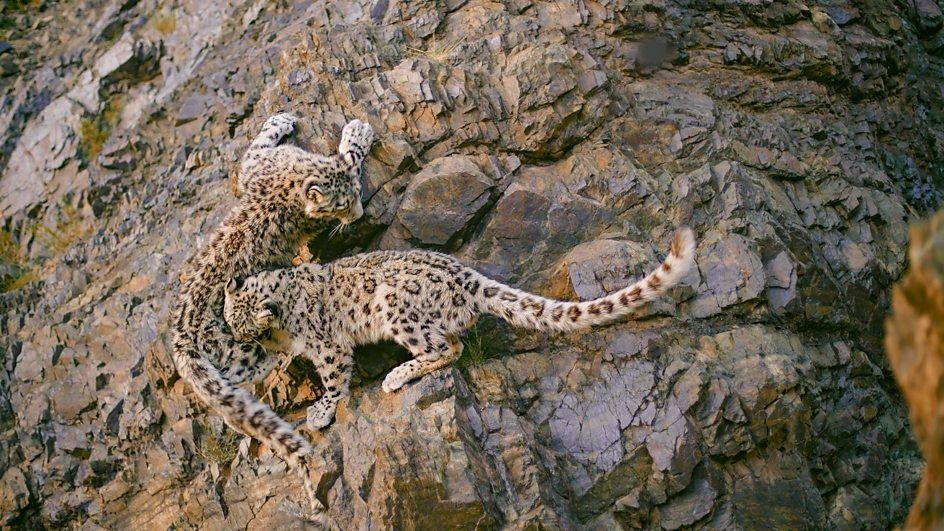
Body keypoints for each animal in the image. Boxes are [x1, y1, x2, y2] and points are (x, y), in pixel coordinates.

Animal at [219, 229, 692, 432]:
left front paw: (320, 410)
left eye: (243, 327)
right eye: (230, 322)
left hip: (398, 308)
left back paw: (396, 375)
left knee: (449, 347)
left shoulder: (328, 346)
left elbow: (334, 379)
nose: (238, 339)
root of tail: (467, 276)